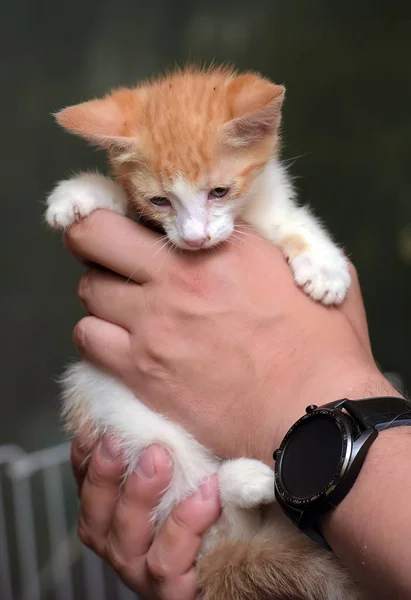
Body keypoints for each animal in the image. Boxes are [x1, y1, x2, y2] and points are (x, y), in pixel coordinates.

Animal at [45, 67, 362, 600]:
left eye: (219, 192)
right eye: (159, 199)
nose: (194, 239)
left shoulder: (270, 204)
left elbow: (291, 221)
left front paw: (323, 265)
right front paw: (82, 192)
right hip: (124, 418)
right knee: (208, 512)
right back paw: (245, 482)